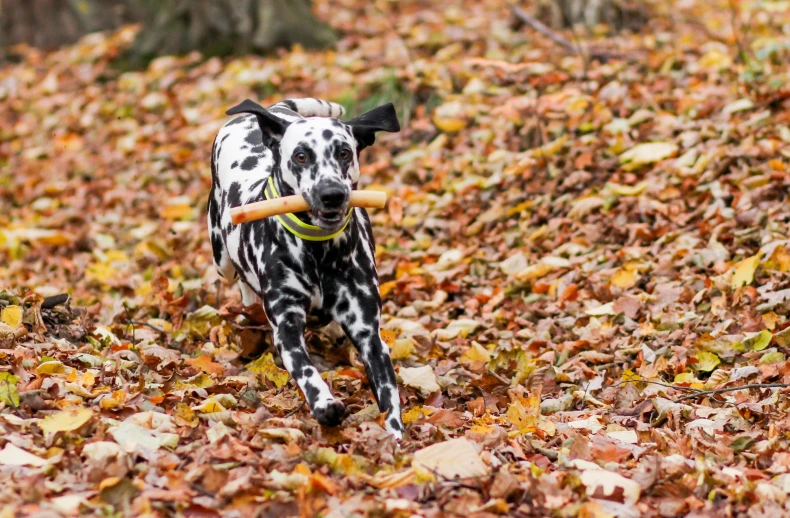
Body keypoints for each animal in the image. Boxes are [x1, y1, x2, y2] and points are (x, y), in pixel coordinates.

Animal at [207, 96, 406, 438]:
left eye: (344, 152)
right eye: (301, 156)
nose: (332, 194)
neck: (318, 251)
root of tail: (277, 109)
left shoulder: (369, 332)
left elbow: (388, 392)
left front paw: (395, 437)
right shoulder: (286, 327)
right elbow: (306, 371)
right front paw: (325, 404)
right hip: (222, 256)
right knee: (239, 279)